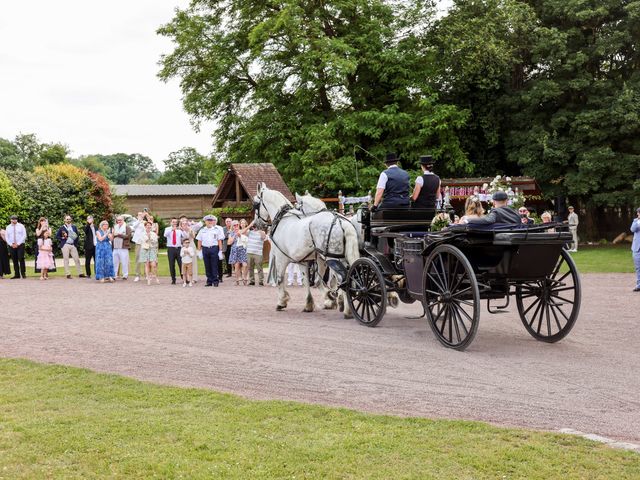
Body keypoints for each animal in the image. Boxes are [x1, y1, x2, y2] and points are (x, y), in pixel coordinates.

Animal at [255, 184, 360, 316]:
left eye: (255, 203)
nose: (256, 224)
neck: (283, 220)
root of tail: (341, 222)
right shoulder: (303, 260)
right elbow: (307, 281)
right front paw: (311, 304)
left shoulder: (280, 258)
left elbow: (280, 279)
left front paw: (282, 302)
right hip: (339, 258)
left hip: (332, 258)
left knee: (343, 280)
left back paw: (347, 310)